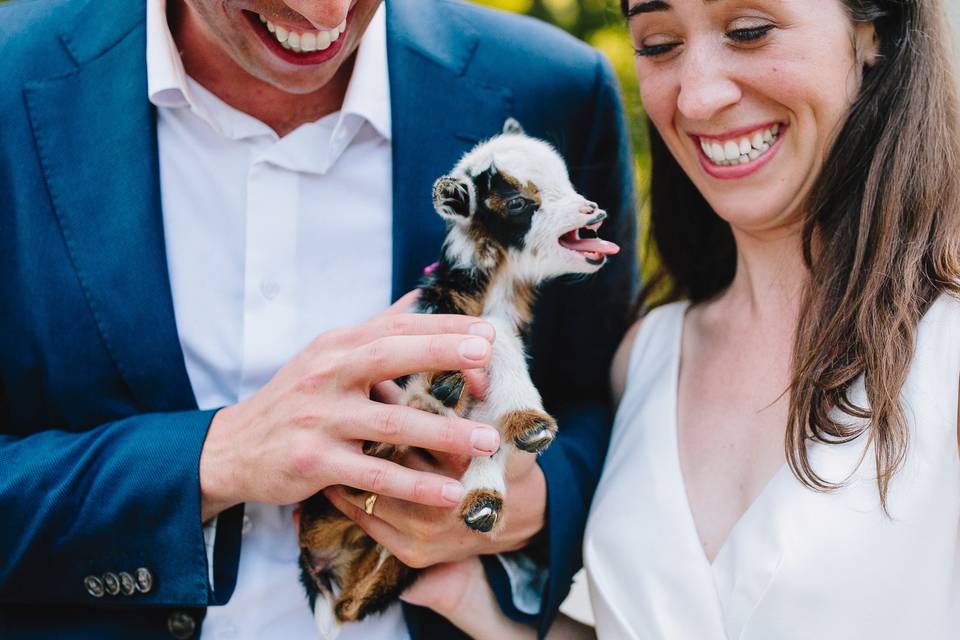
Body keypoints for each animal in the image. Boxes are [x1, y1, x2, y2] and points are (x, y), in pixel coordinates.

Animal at [296, 120, 620, 636]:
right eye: (518, 203)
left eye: (568, 181)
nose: (594, 210)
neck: (494, 284)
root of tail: (322, 573)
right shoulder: (439, 321)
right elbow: (493, 338)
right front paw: (525, 418)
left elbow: (491, 427)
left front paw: (496, 478)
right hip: (324, 497)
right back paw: (410, 417)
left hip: (384, 569)